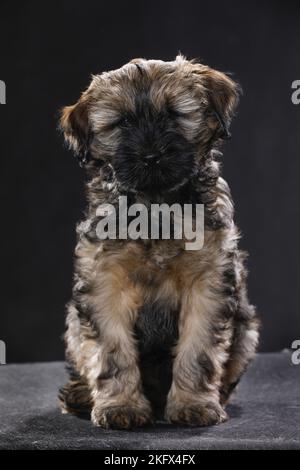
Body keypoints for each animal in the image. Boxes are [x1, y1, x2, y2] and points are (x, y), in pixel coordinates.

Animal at [59, 56, 260, 430]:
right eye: (123, 123)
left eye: (173, 115)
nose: (150, 155)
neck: (156, 206)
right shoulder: (104, 283)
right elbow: (111, 351)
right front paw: (120, 406)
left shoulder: (208, 283)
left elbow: (198, 350)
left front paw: (194, 404)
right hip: (74, 323)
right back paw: (80, 394)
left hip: (246, 331)